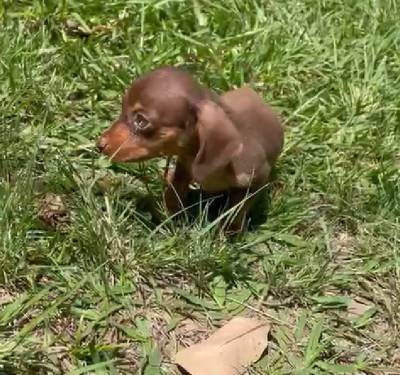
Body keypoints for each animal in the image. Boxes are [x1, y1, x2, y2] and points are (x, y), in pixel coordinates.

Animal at [97, 67, 284, 232]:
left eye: (141, 121)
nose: (99, 144)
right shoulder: (184, 165)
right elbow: (176, 189)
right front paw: (169, 212)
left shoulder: (256, 181)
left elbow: (236, 211)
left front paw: (229, 232)